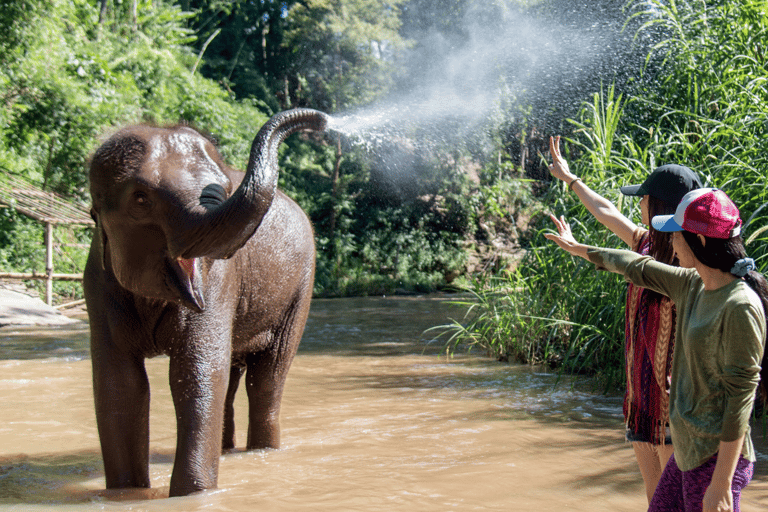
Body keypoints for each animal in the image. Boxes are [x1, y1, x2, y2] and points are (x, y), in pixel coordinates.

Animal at [83, 108, 329, 497]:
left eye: (224, 188)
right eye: (140, 199)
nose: (321, 120)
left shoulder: (220, 280)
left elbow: (195, 371)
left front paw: (193, 494)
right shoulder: (97, 285)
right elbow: (120, 384)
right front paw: (125, 494)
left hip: (299, 291)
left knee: (267, 378)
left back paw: (261, 451)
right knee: (233, 378)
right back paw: (227, 451)